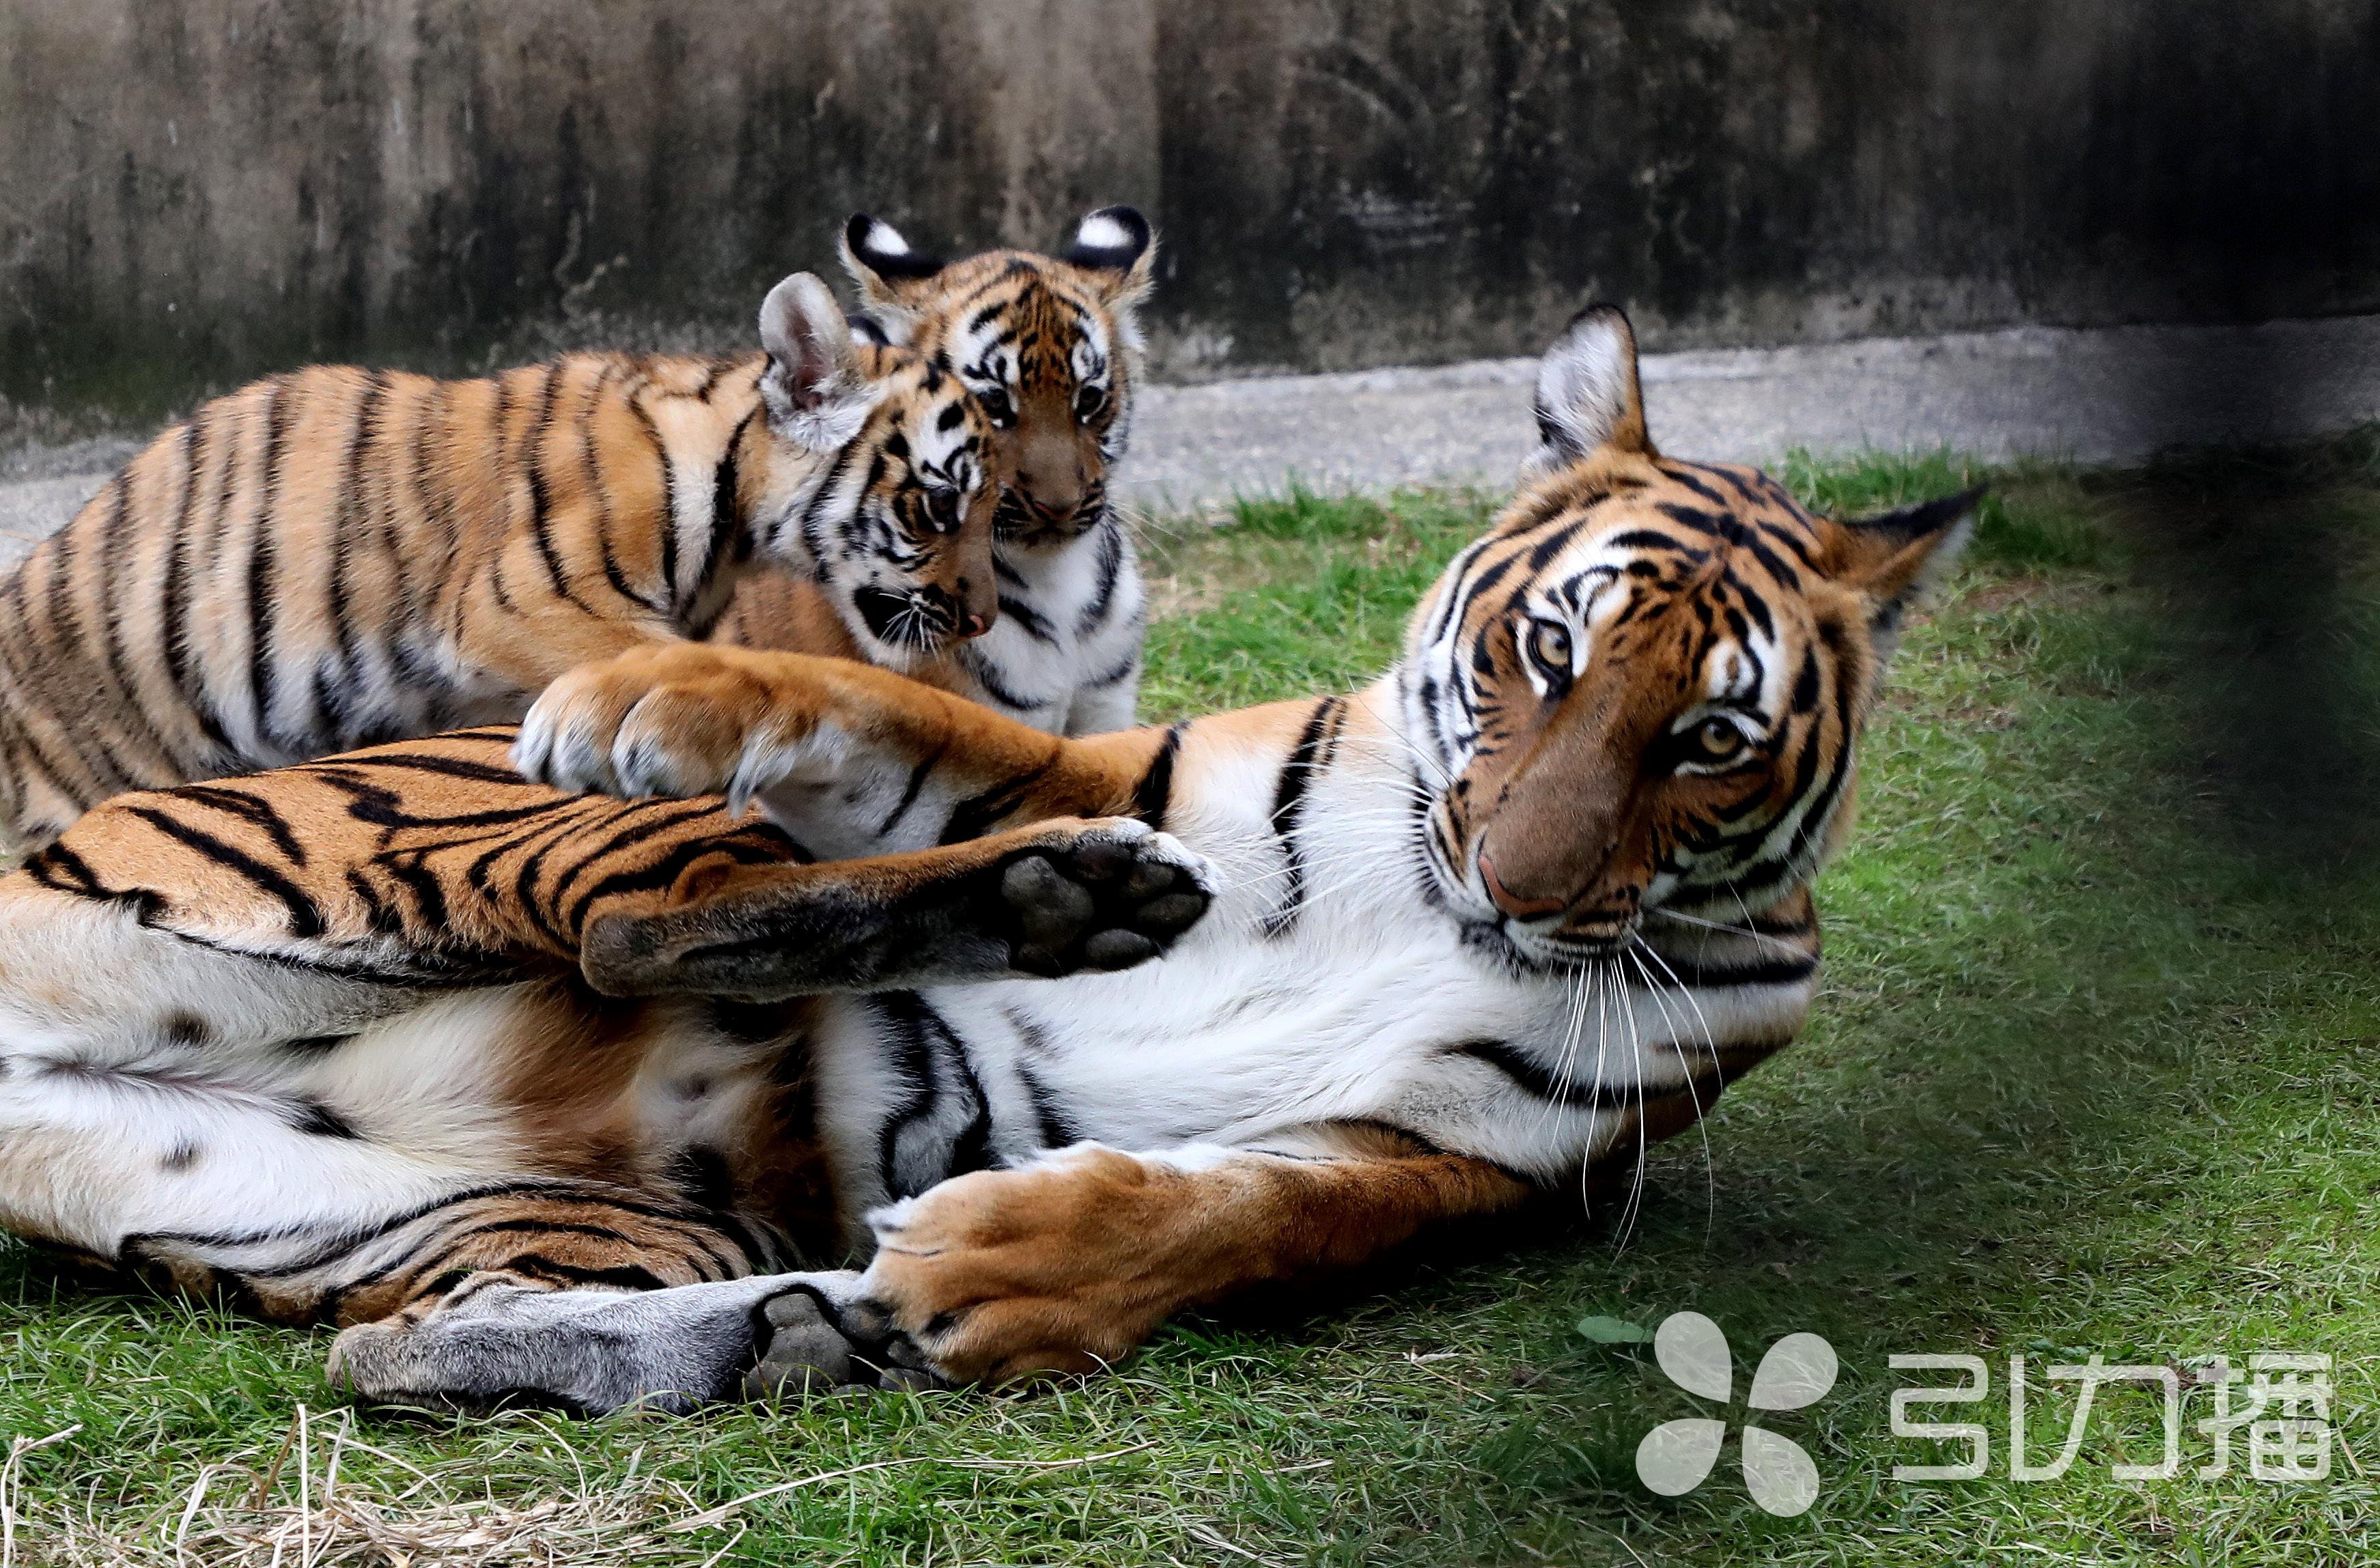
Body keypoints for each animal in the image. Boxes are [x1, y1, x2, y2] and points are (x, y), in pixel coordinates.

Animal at [0, 303, 1980, 1408]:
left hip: (445, 1213)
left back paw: (798, 1327)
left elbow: (1243, 1219)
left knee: (386, 1344)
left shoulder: (1457, 1153)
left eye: (1706, 739)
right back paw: (1056, 903)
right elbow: (908, 722)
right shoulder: (1126, 765)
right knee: (636, 914)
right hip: (405, 839)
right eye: (1545, 652)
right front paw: (673, 690)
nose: (1515, 884)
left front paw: (985, 1280)